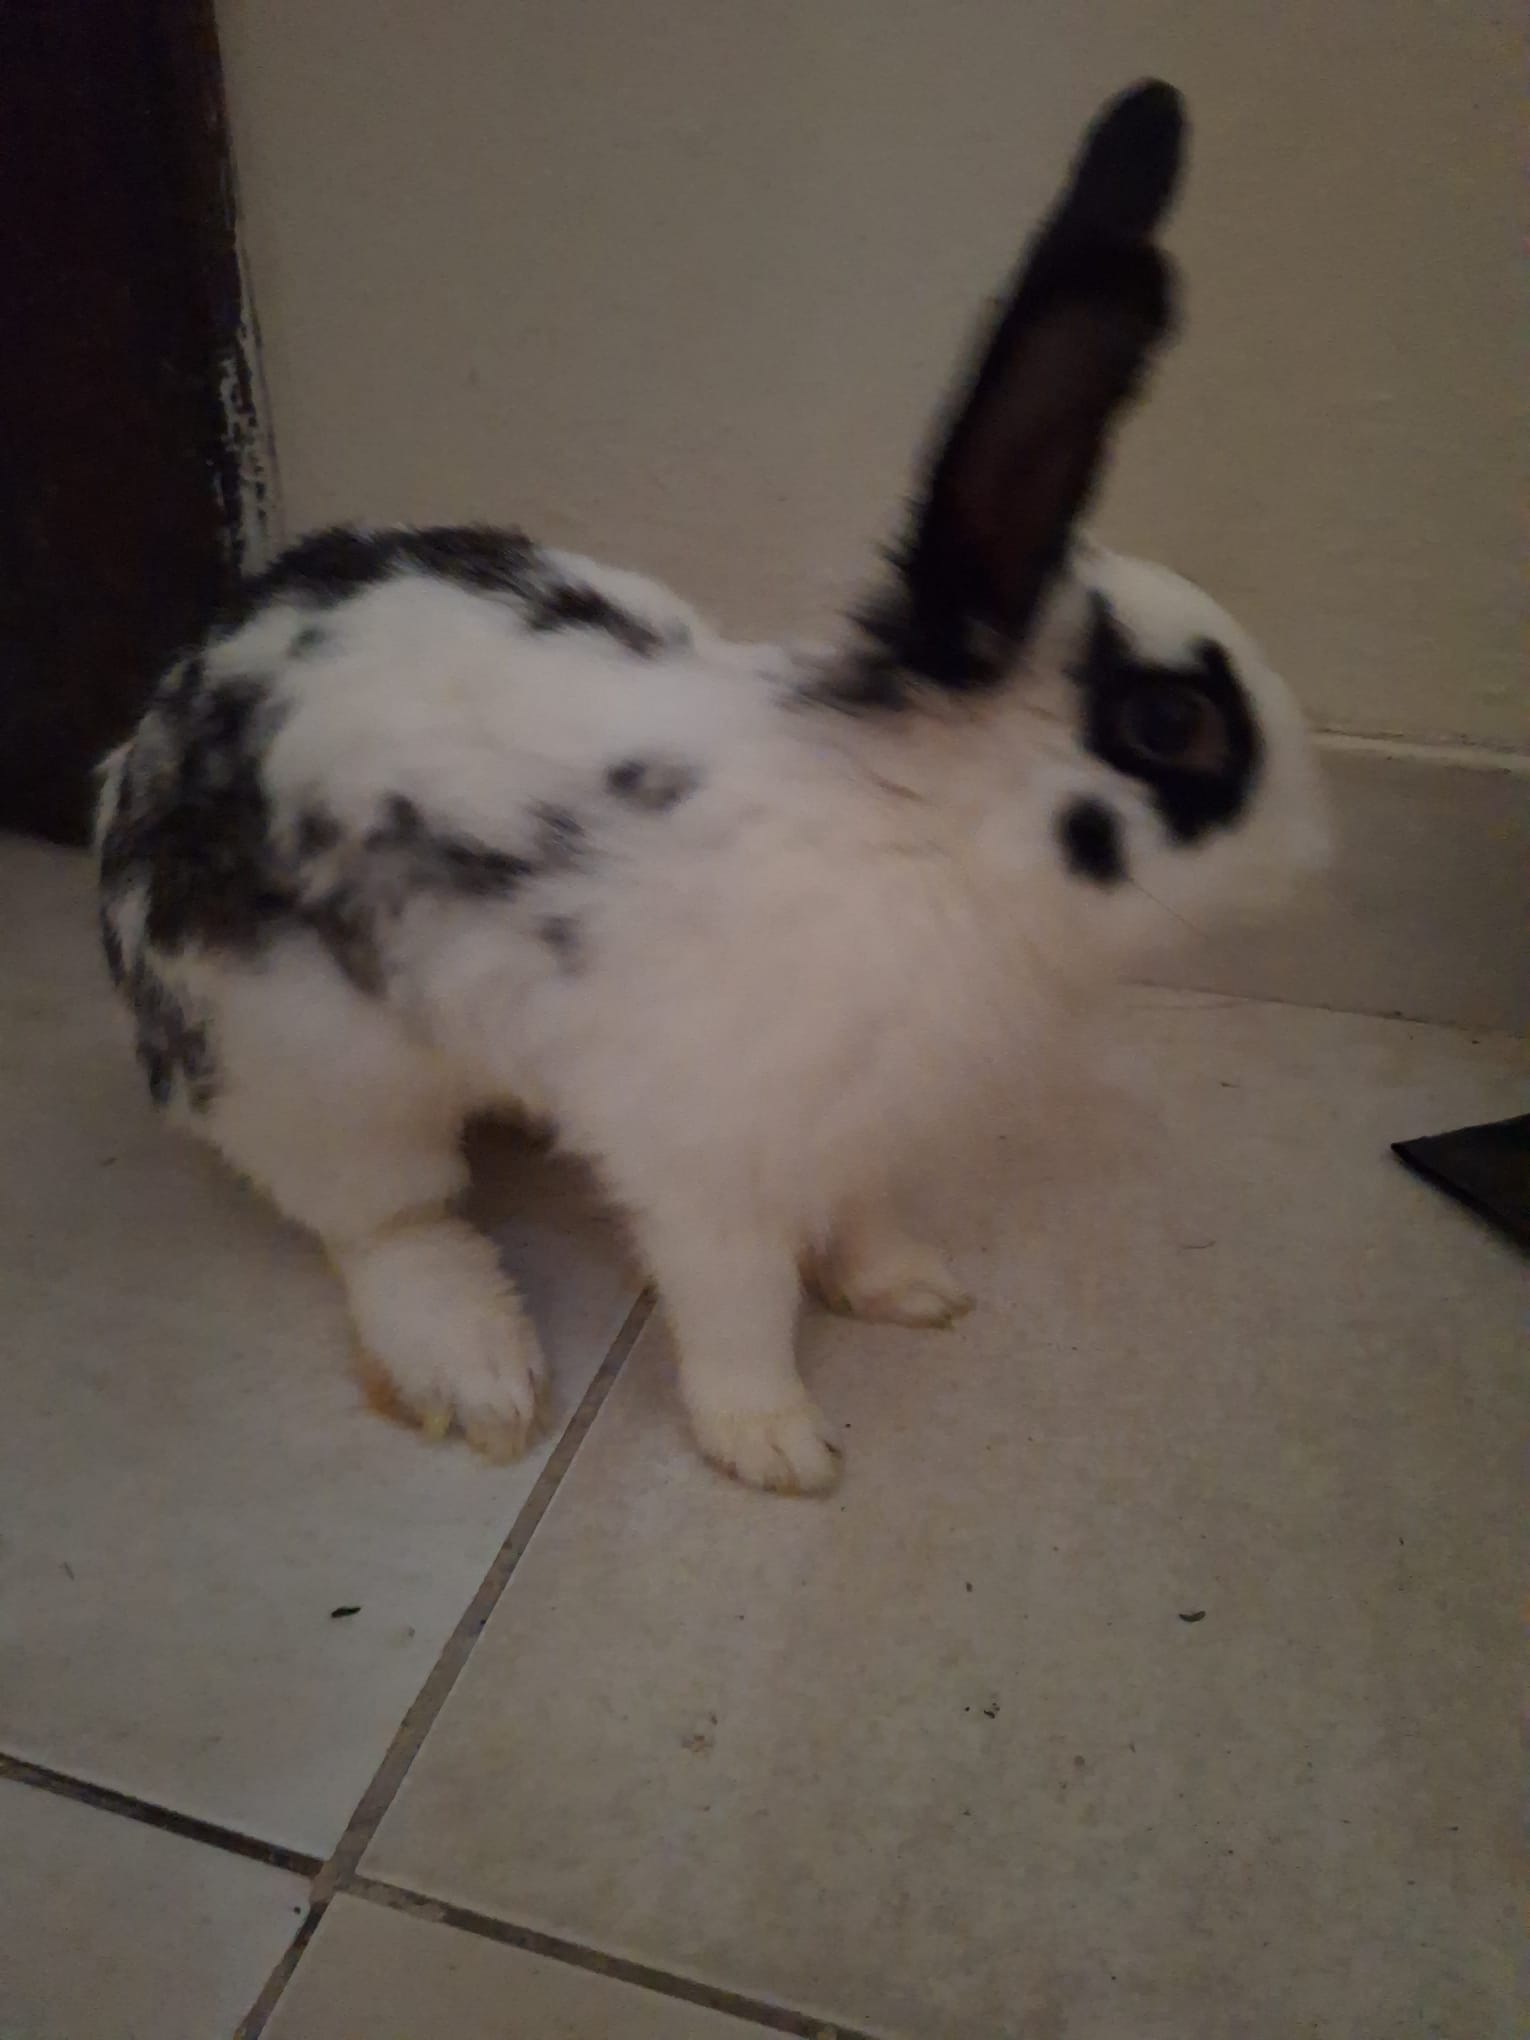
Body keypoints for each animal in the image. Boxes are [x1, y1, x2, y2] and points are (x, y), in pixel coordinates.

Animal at [95, 81, 1326, 1495]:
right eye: (1173, 721)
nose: (1322, 846)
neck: (918, 836)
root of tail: (132, 771)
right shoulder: (707, 1155)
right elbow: (738, 1297)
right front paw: (775, 1443)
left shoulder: (856, 1133)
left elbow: (860, 1217)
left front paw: (907, 1289)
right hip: (310, 1067)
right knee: (387, 1223)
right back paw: (478, 1369)